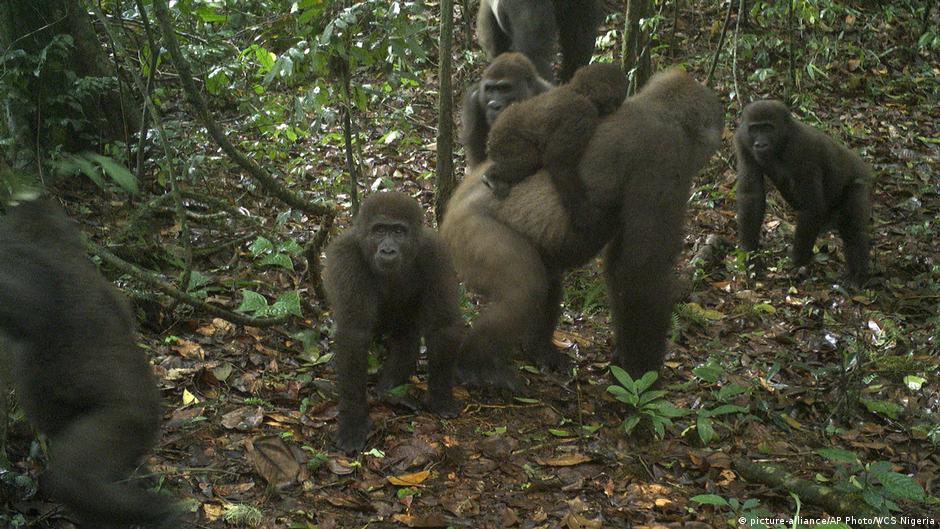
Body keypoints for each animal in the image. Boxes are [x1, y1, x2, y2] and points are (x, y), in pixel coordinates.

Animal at [324, 190, 464, 450]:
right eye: (379, 230)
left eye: (398, 231)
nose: (388, 250)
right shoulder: (346, 255)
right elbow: (354, 335)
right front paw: (353, 418)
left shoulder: (435, 253)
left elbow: (443, 324)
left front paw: (440, 396)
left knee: (407, 336)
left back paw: (389, 391)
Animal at [482, 60, 628, 230]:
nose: (615, 107)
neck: (577, 90)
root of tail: (492, 133)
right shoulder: (581, 113)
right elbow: (558, 162)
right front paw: (585, 215)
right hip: (504, 139)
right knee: (526, 159)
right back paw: (492, 176)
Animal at [736, 97, 872, 282]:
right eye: (755, 129)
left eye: (768, 128)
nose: (760, 143)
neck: (784, 137)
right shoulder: (742, 140)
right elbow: (751, 197)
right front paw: (750, 256)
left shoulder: (803, 148)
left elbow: (811, 207)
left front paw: (798, 263)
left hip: (862, 182)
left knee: (853, 227)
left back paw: (858, 276)